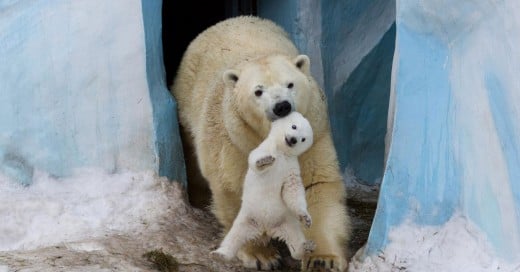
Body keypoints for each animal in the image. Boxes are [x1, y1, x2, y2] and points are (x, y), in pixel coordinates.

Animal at [211, 111, 316, 262]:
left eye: (303, 139)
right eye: (294, 126)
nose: (293, 140)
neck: (282, 152)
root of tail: (266, 229)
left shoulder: (290, 168)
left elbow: (292, 189)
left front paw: (306, 218)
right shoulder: (265, 147)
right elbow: (255, 159)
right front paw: (265, 161)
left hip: (285, 222)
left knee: (295, 239)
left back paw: (306, 247)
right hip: (247, 218)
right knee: (234, 237)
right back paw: (220, 254)